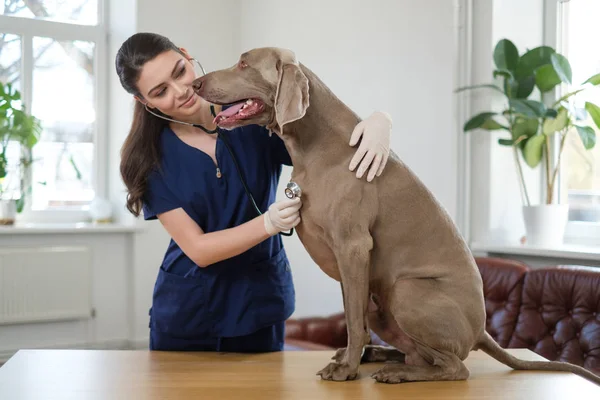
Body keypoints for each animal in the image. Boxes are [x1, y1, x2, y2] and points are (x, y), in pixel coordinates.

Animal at [193, 47, 600, 388]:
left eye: (244, 63)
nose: (196, 84)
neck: (317, 144)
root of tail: (482, 330)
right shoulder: (349, 263)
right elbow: (352, 315)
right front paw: (352, 357)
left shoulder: (354, 246)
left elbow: (352, 322)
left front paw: (347, 369)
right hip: (381, 302)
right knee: (420, 352)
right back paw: (383, 356)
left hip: (406, 291)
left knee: (455, 367)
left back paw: (396, 372)